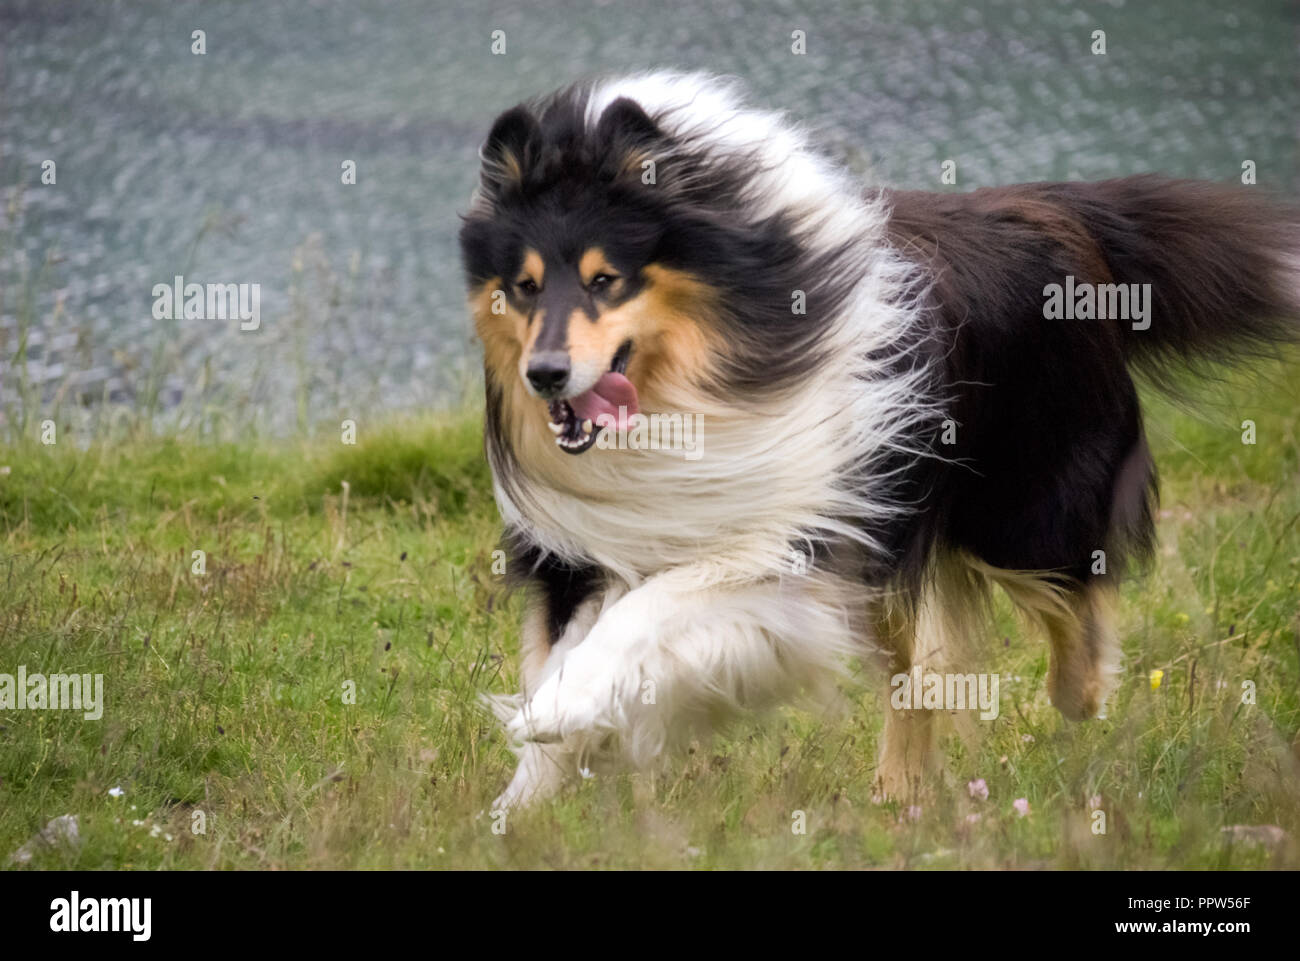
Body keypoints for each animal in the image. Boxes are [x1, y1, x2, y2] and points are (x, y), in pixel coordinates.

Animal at [460, 71, 1300, 806]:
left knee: (1069, 603)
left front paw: (554, 716)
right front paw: (522, 804)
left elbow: (654, 608)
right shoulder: (581, 552)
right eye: (524, 285)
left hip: (1018, 510)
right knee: (919, 677)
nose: (545, 375)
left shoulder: (795, 538)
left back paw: (1077, 695)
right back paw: (900, 795)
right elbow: (570, 645)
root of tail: (1052, 208)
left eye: (606, 279)